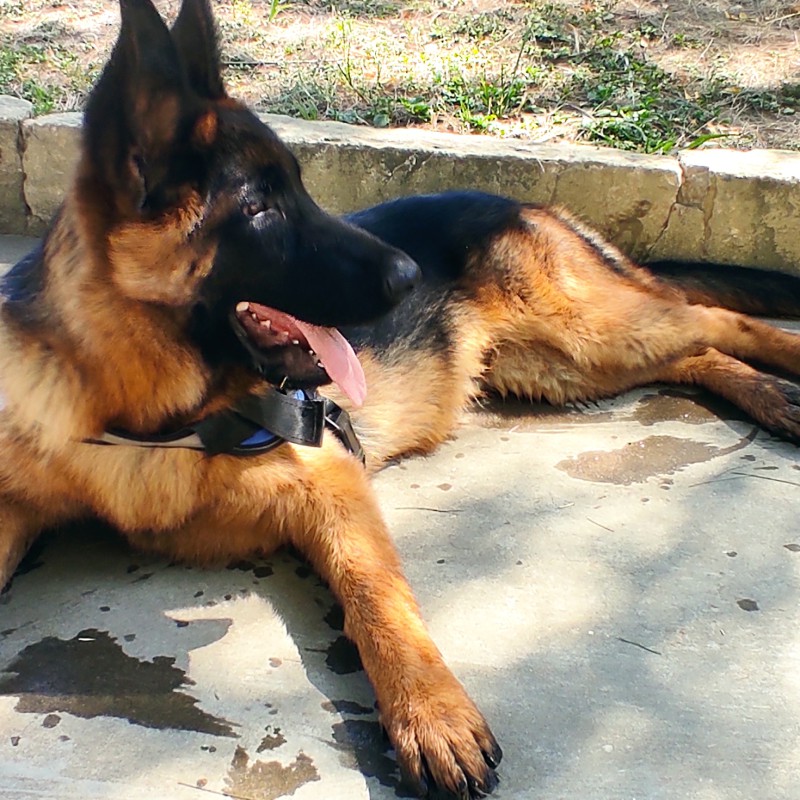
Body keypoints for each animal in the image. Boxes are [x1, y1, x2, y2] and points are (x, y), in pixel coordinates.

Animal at [2, 1, 800, 797]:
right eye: (259, 208)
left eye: (299, 188)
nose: (412, 276)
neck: (142, 411)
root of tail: (521, 200)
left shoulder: (333, 482)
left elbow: (377, 598)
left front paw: (432, 716)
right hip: (563, 368)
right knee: (696, 351)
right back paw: (769, 397)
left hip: (590, 332)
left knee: (713, 320)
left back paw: (783, 385)